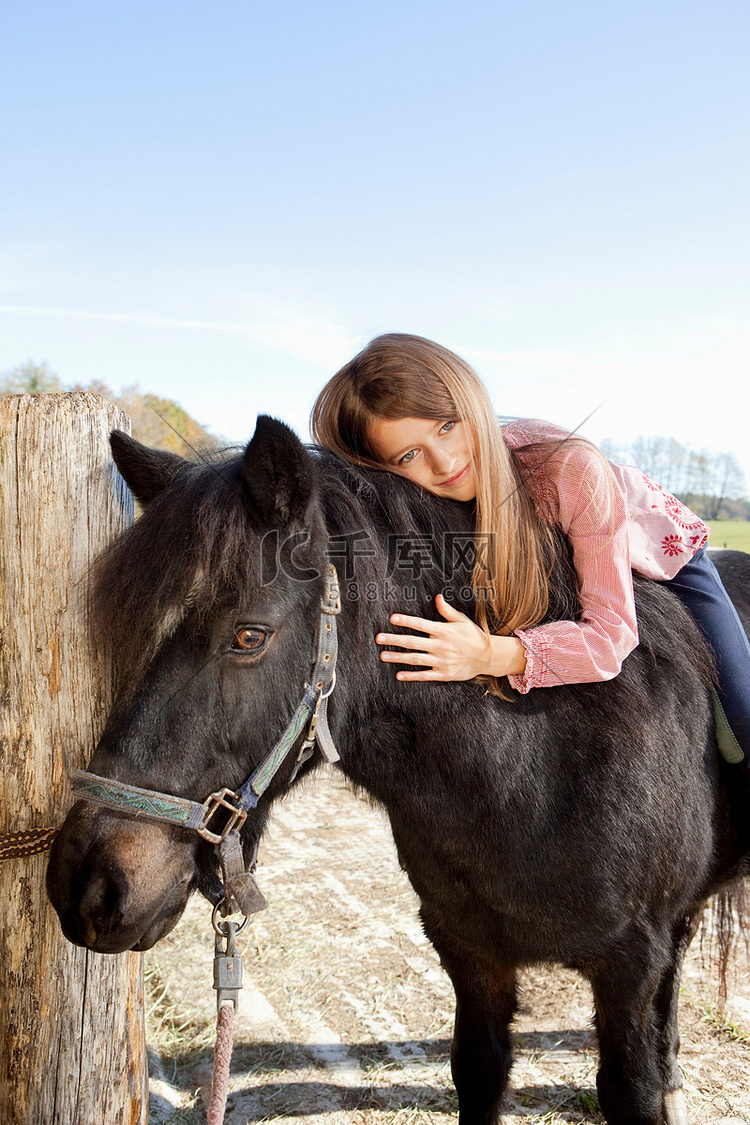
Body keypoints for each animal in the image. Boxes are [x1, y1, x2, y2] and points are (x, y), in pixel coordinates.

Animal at [48, 416, 750, 1125]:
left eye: (249, 637)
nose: (87, 885)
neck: (540, 773)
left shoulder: (628, 965)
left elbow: (630, 1089)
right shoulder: (469, 950)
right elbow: (479, 1069)